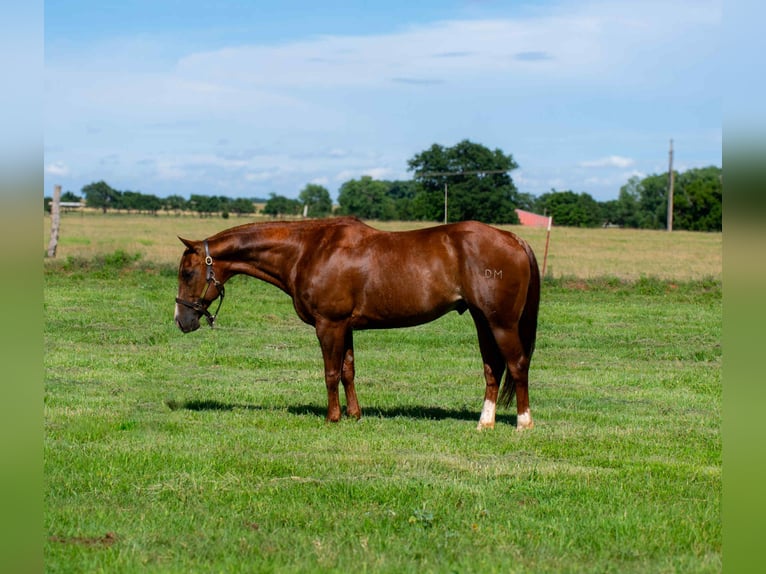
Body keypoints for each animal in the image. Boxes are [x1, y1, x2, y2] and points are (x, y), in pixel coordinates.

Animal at [174, 217, 540, 430]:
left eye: (187, 273)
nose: (182, 319)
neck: (308, 249)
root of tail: (514, 239)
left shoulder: (329, 324)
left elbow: (330, 372)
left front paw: (332, 417)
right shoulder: (346, 327)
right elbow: (348, 371)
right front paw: (354, 414)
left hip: (501, 323)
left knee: (517, 364)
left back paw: (523, 423)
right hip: (483, 320)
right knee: (493, 367)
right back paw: (485, 423)